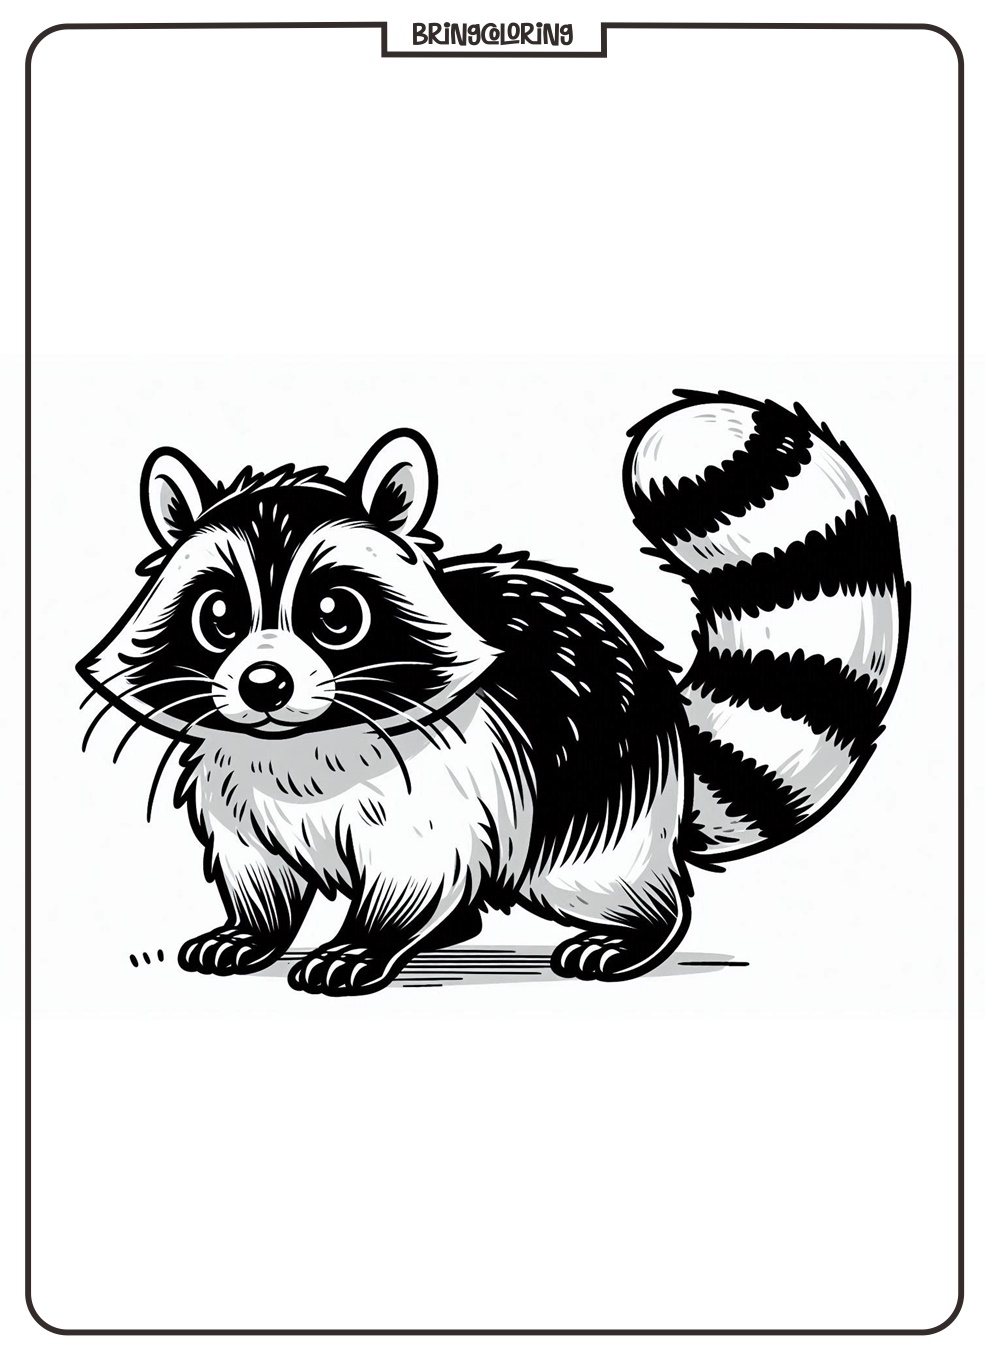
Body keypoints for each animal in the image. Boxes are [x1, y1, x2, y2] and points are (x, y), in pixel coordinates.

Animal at [78, 391, 909, 994]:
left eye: (336, 615)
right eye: (219, 616)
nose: (263, 684)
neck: (306, 741)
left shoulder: (443, 777)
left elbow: (413, 872)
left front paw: (365, 940)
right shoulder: (236, 784)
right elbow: (259, 872)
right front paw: (254, 927)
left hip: (600, 807)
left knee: (601, 879)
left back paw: (634, 929)